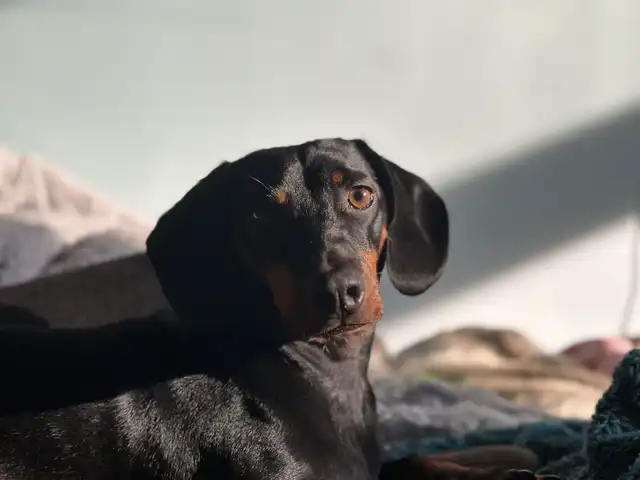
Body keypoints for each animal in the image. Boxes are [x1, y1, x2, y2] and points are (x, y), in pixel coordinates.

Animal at [0, 139, 550, 479]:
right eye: (261, 216)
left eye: (361, 195)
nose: (339, 292)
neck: (325, 372)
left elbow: (410, 462)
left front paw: (505, 455)